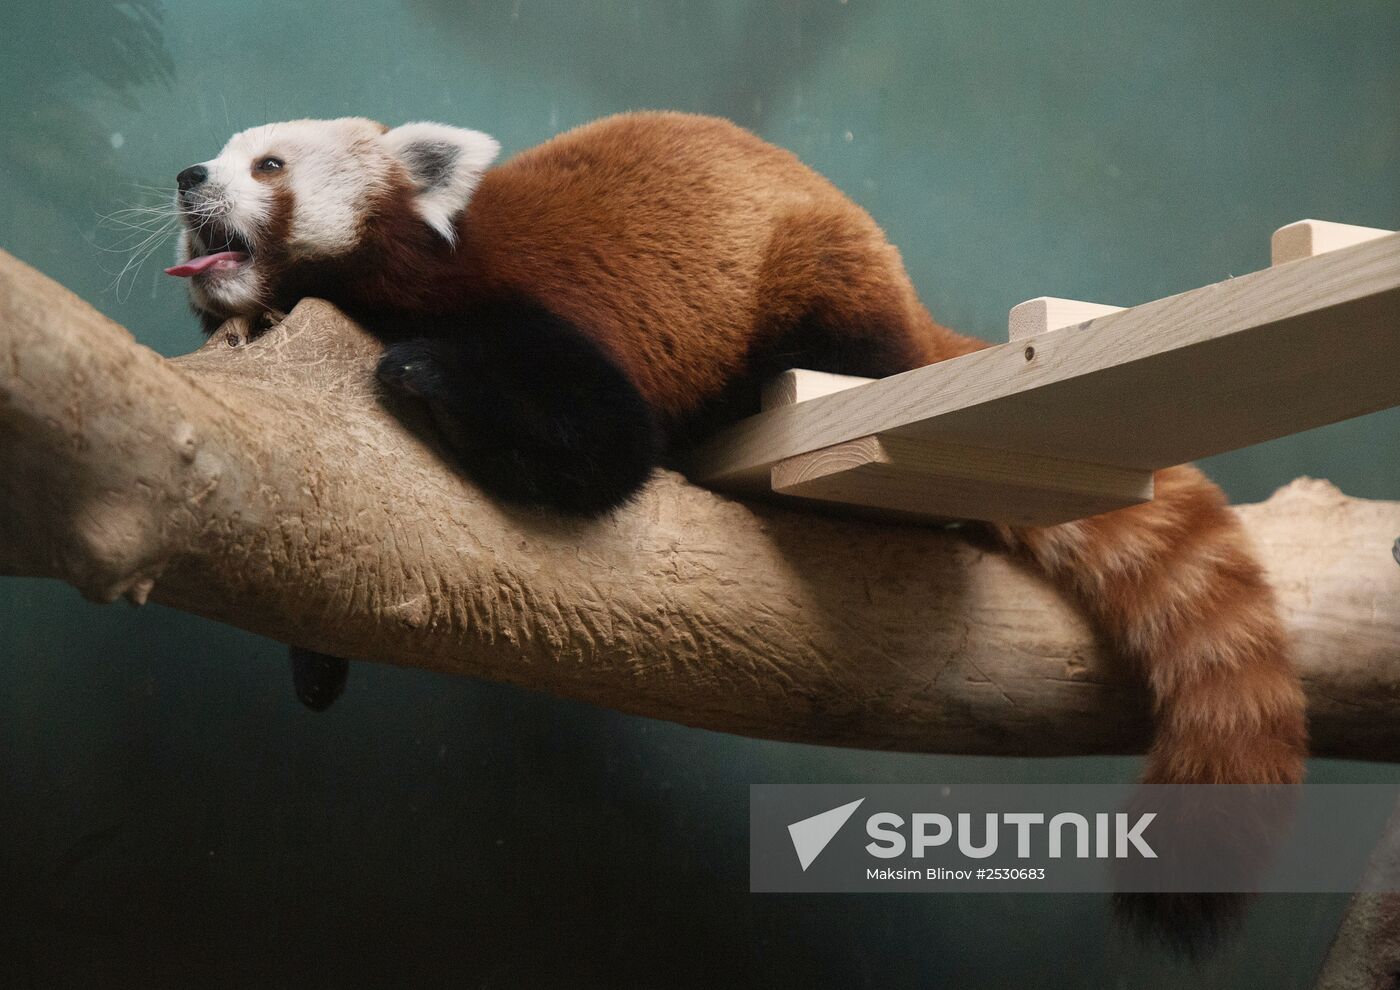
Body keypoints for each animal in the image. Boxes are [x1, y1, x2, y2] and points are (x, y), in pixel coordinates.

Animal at [167, 112, 1306, 798]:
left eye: (268, 166)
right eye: (219, 154)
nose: (185, 176)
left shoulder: (531, 317)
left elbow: (604, 448)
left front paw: (418, 375)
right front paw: (316, 657)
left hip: (818, 290)